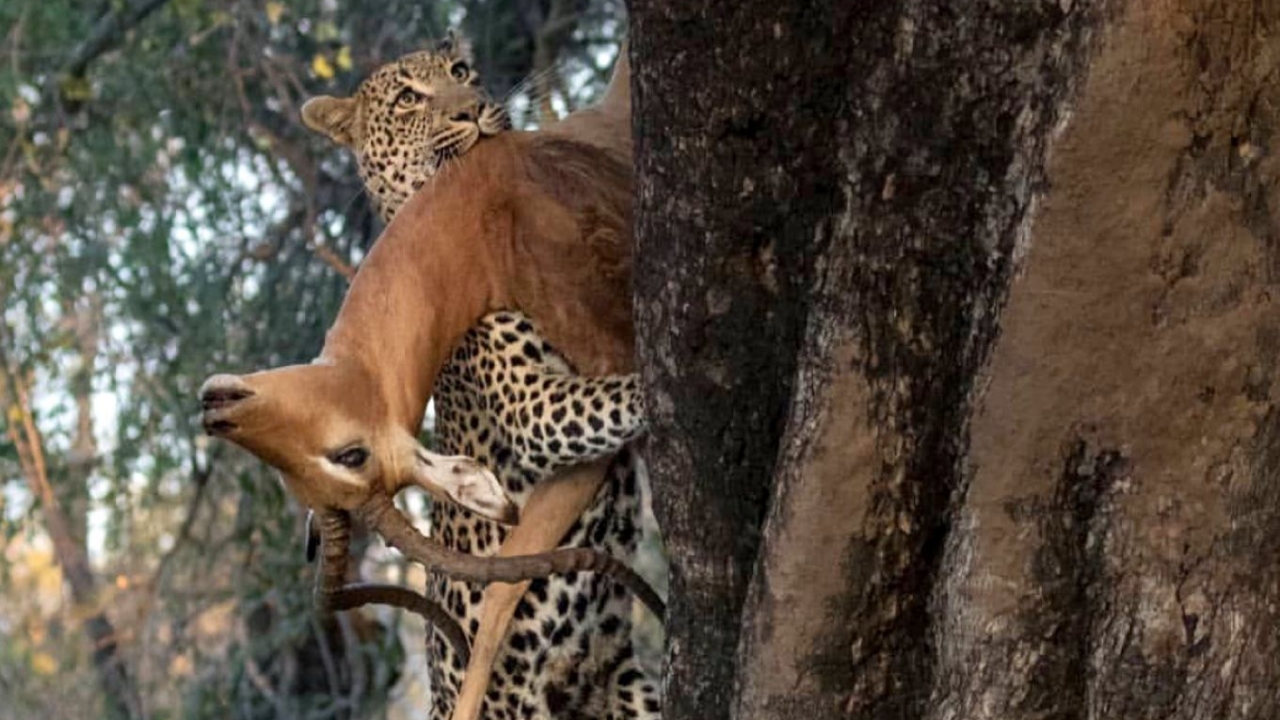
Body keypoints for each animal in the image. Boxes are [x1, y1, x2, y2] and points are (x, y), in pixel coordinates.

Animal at [299, 37, 660, 717]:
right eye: (408, 98)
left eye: (460, 72)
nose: (473, 109)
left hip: (627, 682)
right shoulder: (533, 409)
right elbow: (625, 391)